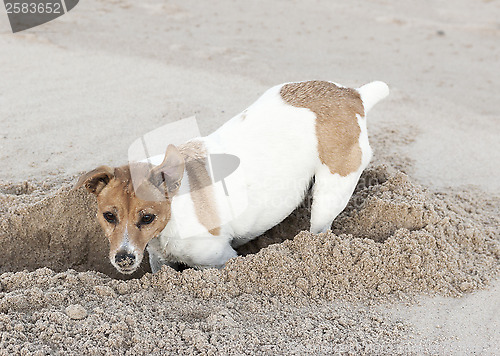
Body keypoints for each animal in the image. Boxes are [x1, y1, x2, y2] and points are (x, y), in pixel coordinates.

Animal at [74, 80, 388, 274]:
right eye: (109, 216)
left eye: (147, 217)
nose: (123, 258)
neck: (173, 214)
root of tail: (354, 95)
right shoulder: (159, 260)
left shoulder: (221, 260)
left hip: (329, 196)